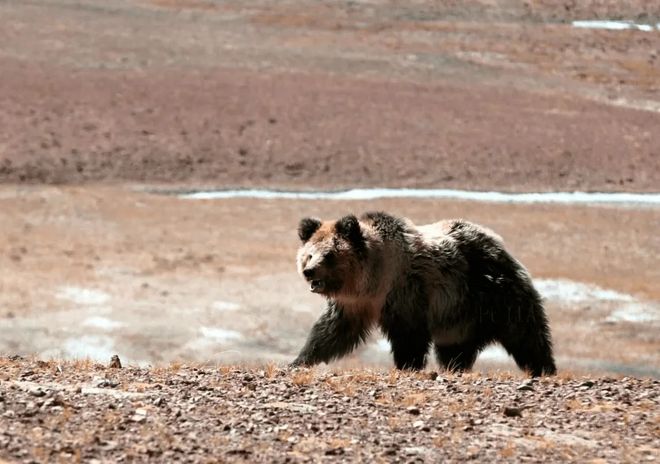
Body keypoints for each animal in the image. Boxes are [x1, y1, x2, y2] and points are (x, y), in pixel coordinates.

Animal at [290, 211, 556, 376]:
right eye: (309, 253)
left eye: (330, 255)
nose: (309, 271)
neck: (374, 280)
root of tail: (499, 245)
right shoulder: (355, 304)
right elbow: (331, 333)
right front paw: (301, 360)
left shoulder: (405, 293)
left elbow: (409, 336)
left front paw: (407, 365)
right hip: (459, 320)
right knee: (455, 348)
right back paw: (455, 367)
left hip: (493, 295)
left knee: (526, 335)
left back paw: (544, 368)